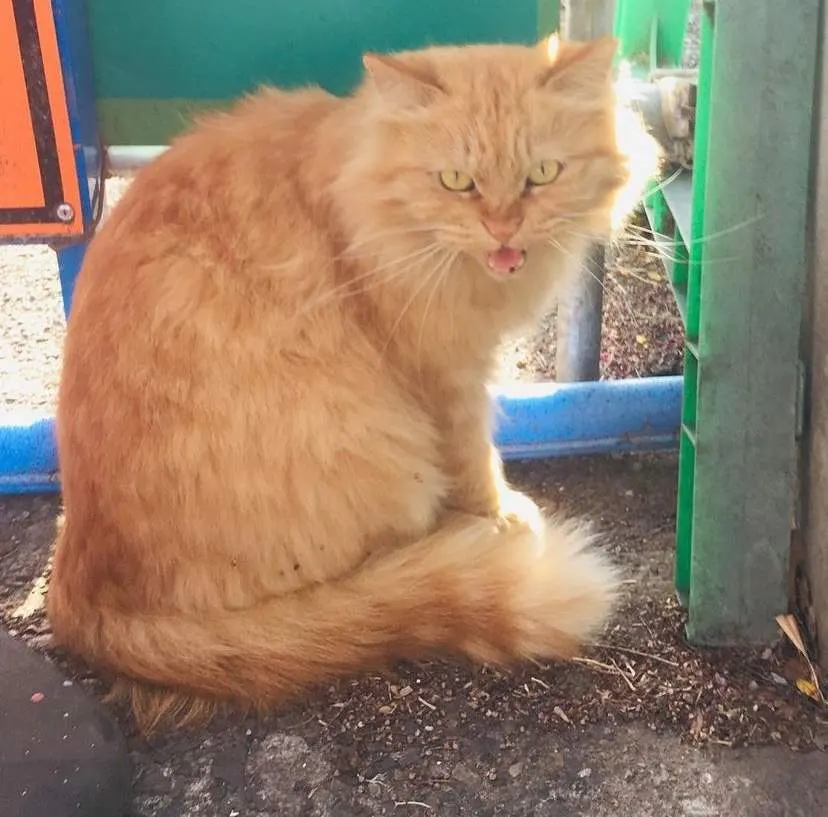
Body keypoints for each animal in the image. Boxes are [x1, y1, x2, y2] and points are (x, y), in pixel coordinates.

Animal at [47, 35, 658, 732]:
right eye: (457, 181)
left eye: (543, 174)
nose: (503, 229)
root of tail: (77, 589)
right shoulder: (443, 372)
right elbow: (474, 455)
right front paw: (501, 515)